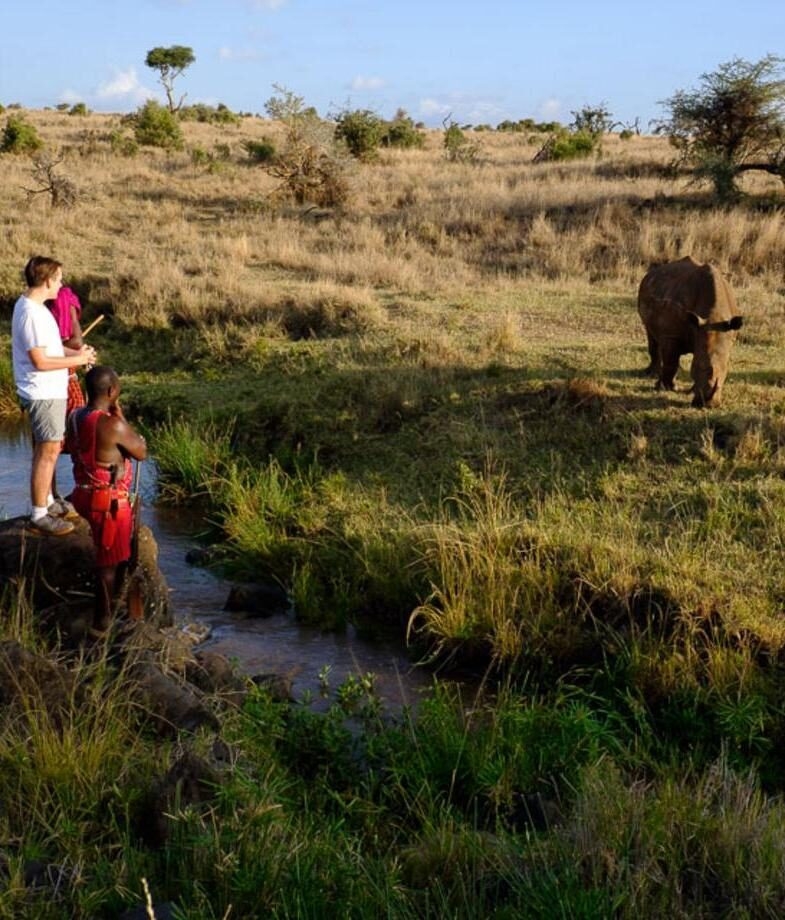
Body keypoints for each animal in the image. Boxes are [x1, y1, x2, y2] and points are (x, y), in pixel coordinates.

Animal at [637, 256, 743, 407]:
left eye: (726, 369)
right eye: (697, 367)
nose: (708, 405)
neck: (714, 315)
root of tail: (652, 272)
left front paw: (691, 391)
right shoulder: (672, 335)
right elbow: (671, 362)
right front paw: (667, 388)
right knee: (651, 335)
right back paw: (652, 374)